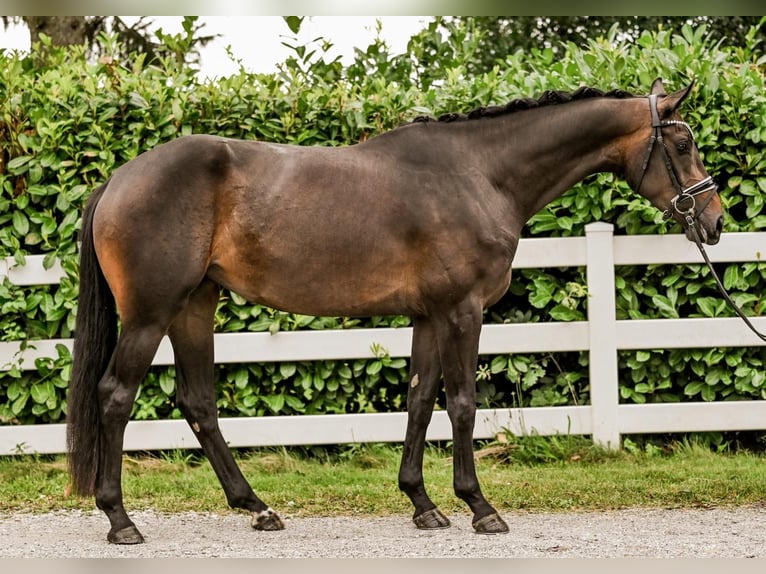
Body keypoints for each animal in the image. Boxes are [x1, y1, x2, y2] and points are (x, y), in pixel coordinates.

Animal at [66, 76, 728, 544]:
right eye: (683, 143)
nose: (715, 221)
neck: (479, 174)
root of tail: (118, 179)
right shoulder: (462, 311)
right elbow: (462, 404)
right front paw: (480, 507)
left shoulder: (429, 315)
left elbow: (418, 400)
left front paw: (423, 504)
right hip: (152, 313)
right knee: (116, 396)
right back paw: (121, 520)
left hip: (194, 306)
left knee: (198, 401)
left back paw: (256, 508)